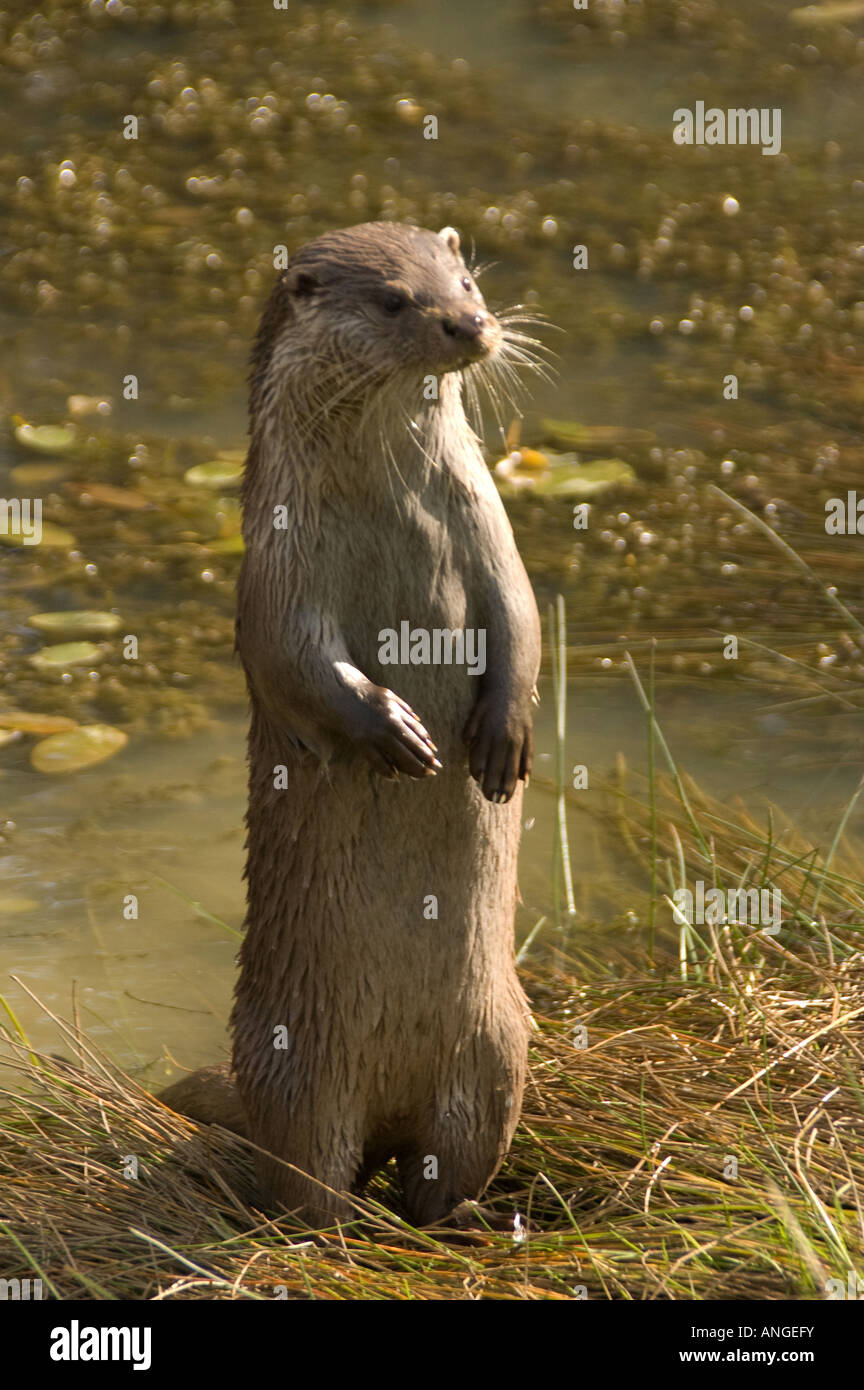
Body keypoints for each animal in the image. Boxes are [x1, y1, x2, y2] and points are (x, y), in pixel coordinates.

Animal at [161, 222, 541, 1223]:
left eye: (464, 278)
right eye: (395, 301)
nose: (469, 324)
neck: (391, 513)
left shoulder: (493, 526)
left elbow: (523, 618)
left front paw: (503, 737)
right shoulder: (277, 562)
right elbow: (293, 659)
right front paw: (393, 733)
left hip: (498, 1053)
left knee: (451, 1159)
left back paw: (457, 1221)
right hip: (302, 1075)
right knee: (308, 1176)